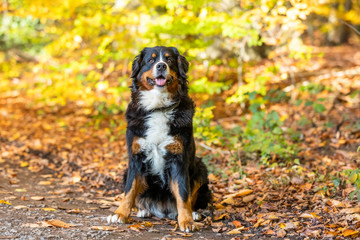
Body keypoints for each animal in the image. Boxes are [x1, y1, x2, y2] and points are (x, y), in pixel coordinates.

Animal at [108, 46, 212, 232]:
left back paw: (192, 214)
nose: (161, 66)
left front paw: (186, 220)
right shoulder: (135, 158)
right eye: (151, 60)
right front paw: (120, 214)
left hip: (200, 168)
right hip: (126, 172)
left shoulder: (178, 159)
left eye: (169, 60)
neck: (158, 108)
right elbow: (129, 190)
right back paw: (143, 210)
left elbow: (183, 194)